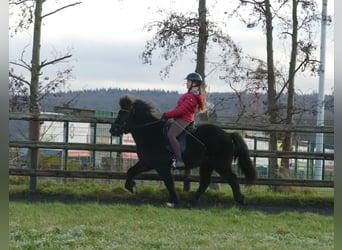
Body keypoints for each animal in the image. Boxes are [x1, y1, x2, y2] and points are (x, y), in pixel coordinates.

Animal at [109, 95, 256, 207]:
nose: (112, 130)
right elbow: (131, 171)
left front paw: (174, 200)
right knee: (205, 182)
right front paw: (132, 187)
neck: (150, 132)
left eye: (123, 114)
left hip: (220, 164)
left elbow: (169, 182)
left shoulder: (161, 166)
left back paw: (240, 200)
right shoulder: (147, 163)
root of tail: (228, 135)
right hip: (207, 165)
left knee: (232, 178)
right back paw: (192, 202)